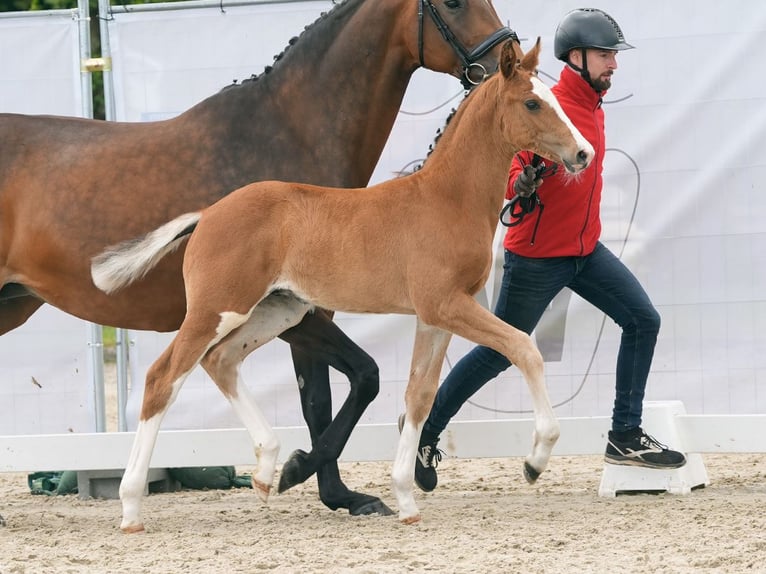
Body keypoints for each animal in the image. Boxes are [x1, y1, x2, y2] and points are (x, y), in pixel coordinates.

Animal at [1, 0, 516, 524]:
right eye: (452, 3)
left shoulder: (301, 307)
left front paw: (332, 489)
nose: (507, 61)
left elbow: (328, 393)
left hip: (12, 304)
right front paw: (305, 474)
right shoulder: (296, 310)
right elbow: (353, 381)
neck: (284, 135)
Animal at [90, 39, 592, 536]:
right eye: (531, 103)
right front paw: (535, 460)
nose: (584, 153)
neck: (447, 199)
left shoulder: (435, 317)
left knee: (221, 361)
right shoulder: (445, 305)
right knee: (163, 378)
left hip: (278, 310)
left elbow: (419, 396)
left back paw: (267, 469)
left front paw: (405, 498)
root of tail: (208, 213)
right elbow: (523, 347)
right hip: (217, 309)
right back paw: (131, 506)